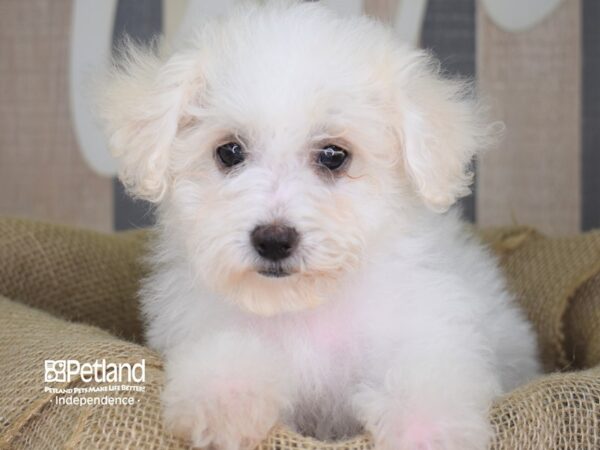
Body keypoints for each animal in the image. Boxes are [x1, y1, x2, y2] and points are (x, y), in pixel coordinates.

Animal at [98, 1, 540, 448]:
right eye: (229, 151)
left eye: (333, 155)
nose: (274, 240)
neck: (307, 305)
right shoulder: (203, 323)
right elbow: (228, 351)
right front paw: (224, 400)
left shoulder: (429, 321)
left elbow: (427, 368)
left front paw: (425, 430)